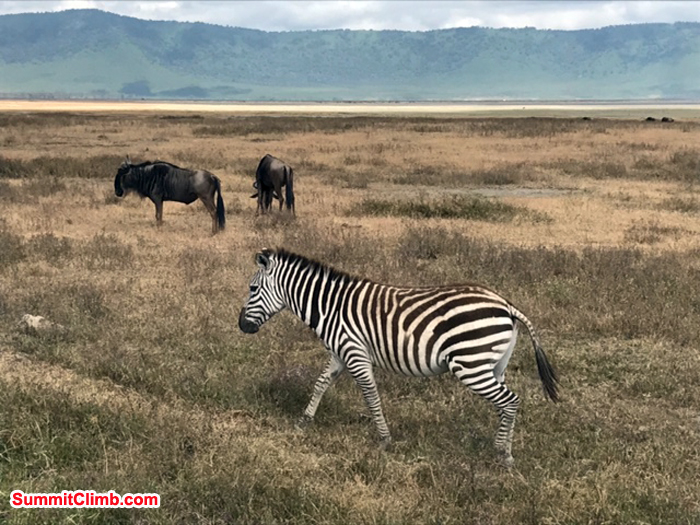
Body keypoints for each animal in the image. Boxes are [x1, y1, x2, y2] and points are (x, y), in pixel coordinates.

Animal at [238, 248, 559, 466]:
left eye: (252, 289)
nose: (241, 326)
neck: (329, 307)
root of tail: (506, 305)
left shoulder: (354, 352)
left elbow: (370, 394)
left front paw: (384, 439)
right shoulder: (340, 353)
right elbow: (320, 383)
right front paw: (304, 421)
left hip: (470, 365)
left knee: (511, 401)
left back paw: (504, 455)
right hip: (493, 365)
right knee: (504, 405)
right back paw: (497, 446)